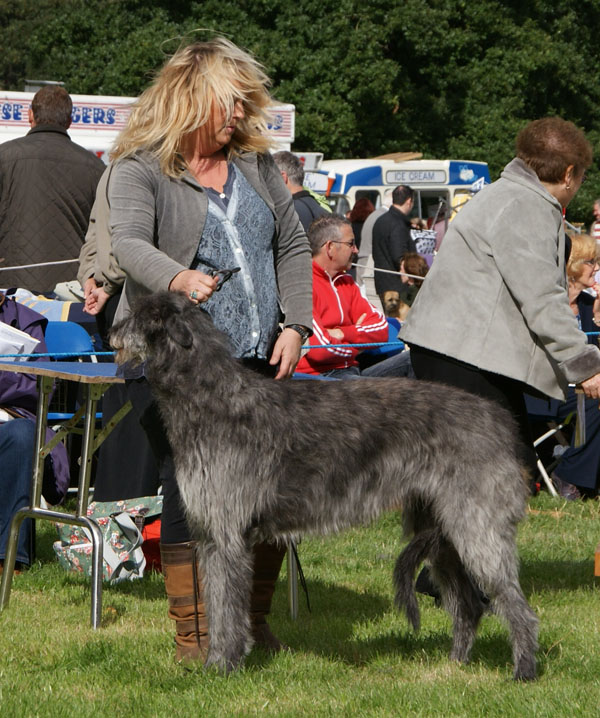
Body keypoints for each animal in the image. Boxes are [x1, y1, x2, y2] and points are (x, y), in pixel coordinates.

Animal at [111, 292, 540, 680]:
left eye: (137, 314)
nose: (112, 332)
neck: (212, 397)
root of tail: (501, 421)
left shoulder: (229, 534)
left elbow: (228, 607)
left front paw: (225, 667)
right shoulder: (211, 535)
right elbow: (215, 602)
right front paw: (214, 663)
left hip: (476, 527)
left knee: (516, 605)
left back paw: (524, 671)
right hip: (443, 530)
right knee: (469, 604)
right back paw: (455, 666)